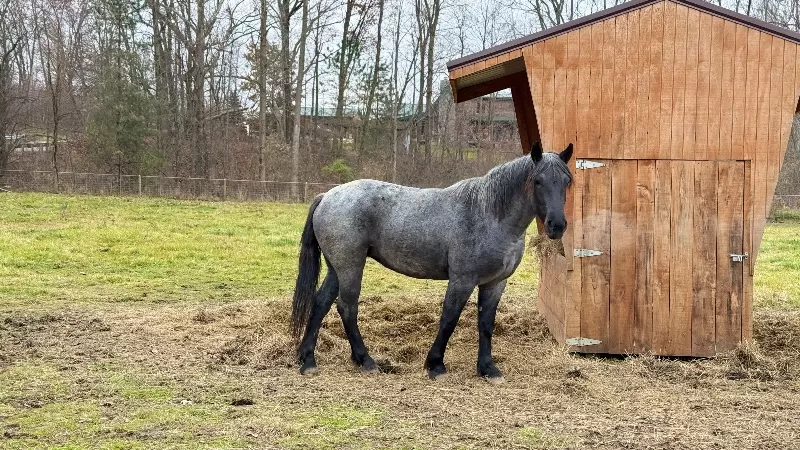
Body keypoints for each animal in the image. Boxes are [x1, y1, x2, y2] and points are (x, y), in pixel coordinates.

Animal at [290, 141, 573, 383]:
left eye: (567, 182)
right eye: (538, 181)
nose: (557, 225)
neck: (489, 214)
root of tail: (328, 195)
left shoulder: (495, 283)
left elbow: (486, 324)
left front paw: (488, 369)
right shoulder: (462, 280)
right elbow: (449, 319)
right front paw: (435, 365)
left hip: (337, 268)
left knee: (320, 303)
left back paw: (309, 359)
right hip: (351, 266)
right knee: (347, 308)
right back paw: (366, 361)